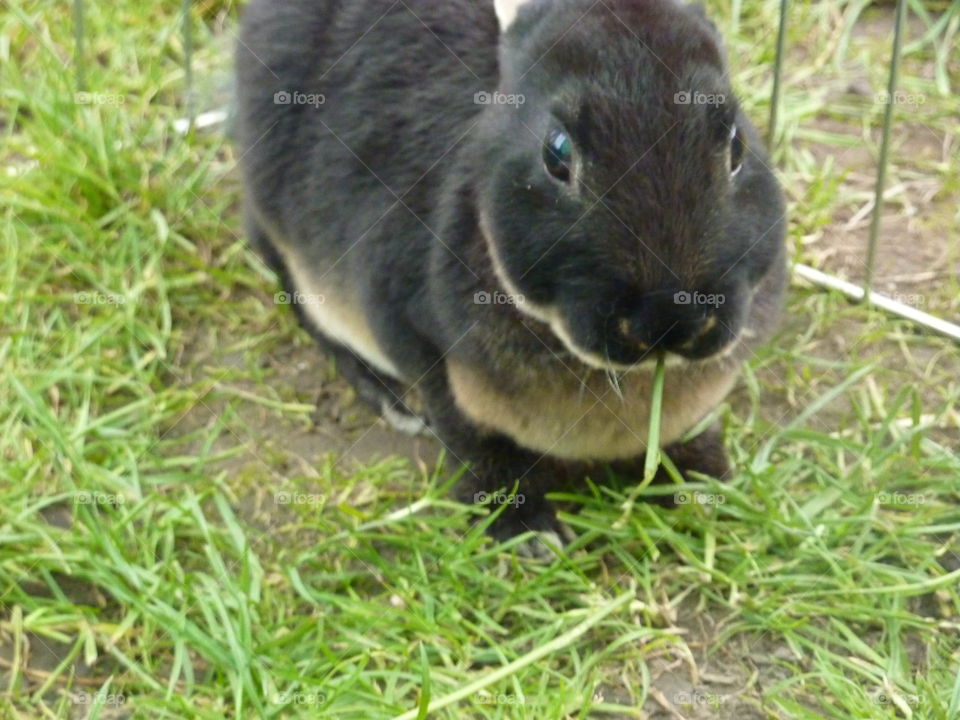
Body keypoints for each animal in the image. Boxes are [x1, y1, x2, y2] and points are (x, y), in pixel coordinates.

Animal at [234, 0, 788, 552]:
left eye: (737, 145)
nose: (669, 319)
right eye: (557, 153)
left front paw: (705, 486)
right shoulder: (416, 337)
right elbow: (470, 437)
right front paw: (528, 533)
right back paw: (394, 401)